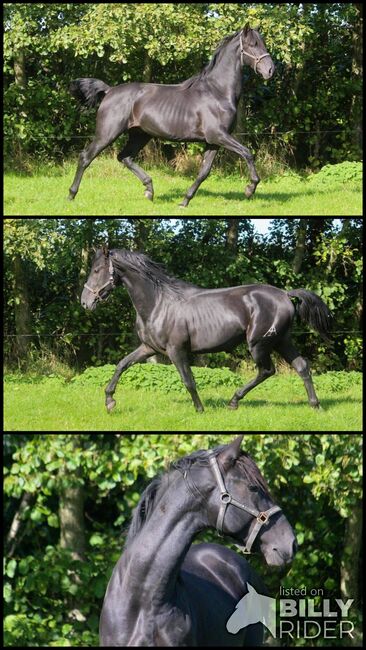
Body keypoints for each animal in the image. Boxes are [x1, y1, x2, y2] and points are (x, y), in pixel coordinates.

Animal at [69, 24, 274, 205]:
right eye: (253, 44)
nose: (270, 70)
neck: (218, 92)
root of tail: (109, 91)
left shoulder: (213, 141)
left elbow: (204, 172)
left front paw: (184, 201)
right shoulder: (218, 135)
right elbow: (247, 153)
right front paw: (250, 189)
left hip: (140, 135)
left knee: (124, 157)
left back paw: (149, 190)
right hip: (107, 134)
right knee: (86, 157)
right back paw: (71, 195)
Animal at [81, 246, 334, 412]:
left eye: (97, 270)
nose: (85, 302)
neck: (158, 303)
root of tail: (284, 294)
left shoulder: (176, 351)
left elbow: (188, 381)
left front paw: (200, 410)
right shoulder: (148, 348)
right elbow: (122, 365)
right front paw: (110, 402)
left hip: (259, 344)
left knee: (267, 370)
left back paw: (234, 401)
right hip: (281, 340)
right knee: (301, 366)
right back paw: (315, 406)